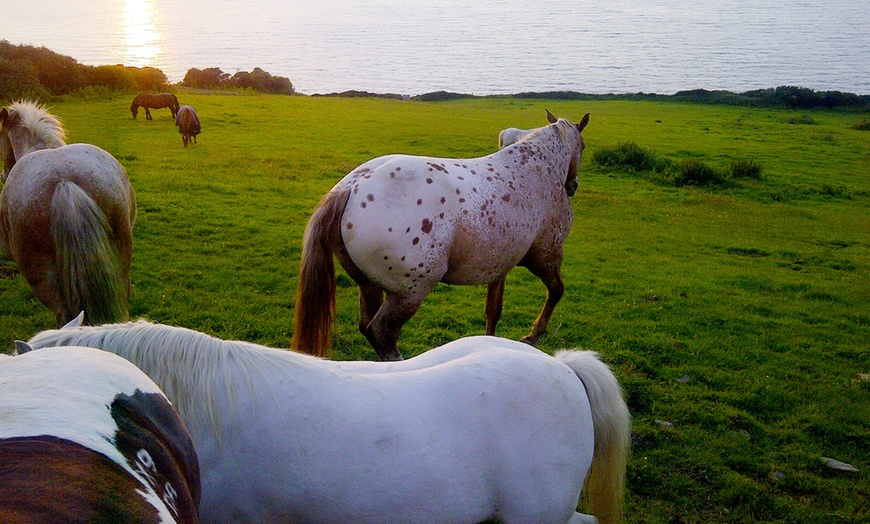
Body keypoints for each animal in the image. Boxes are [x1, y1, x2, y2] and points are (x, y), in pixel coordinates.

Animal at [294, 109, 592, 360]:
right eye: (583, 146)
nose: (573, 186)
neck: (540, 167)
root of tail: (350, 187)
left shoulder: (500, 265)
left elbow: (493, 310)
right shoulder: (545, 257)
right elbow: (556, 291)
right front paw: (532, 336)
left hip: (369, 286)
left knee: (366, 325)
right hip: (409, 293)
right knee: (381, 332)